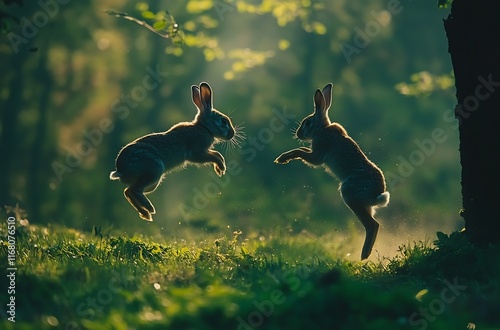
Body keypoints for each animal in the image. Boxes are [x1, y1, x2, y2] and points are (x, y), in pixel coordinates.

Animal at [110, 82, 239, 222]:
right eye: (223, 121)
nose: (232, 134)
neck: (204, 128)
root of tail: (121, 170)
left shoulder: (204, 151)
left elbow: (216, 154)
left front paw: (220, 169)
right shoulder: (196, 153)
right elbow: (212, 156)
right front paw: (221, 167)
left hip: (152, 183)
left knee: (128, 191)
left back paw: (145, 214)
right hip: (154, 170)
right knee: (133, 190)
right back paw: (149, 209)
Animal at [276, 83, 388, 260]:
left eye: (307, 122)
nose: (298, 134)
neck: (322, 129)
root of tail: (377, 194)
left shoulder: (318, 155)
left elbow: (300, 152)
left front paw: (282, 158)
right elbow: (302, 150)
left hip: (349, 194)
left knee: (372, 225)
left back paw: (364, 254)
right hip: (364, 205)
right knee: (374, 224)